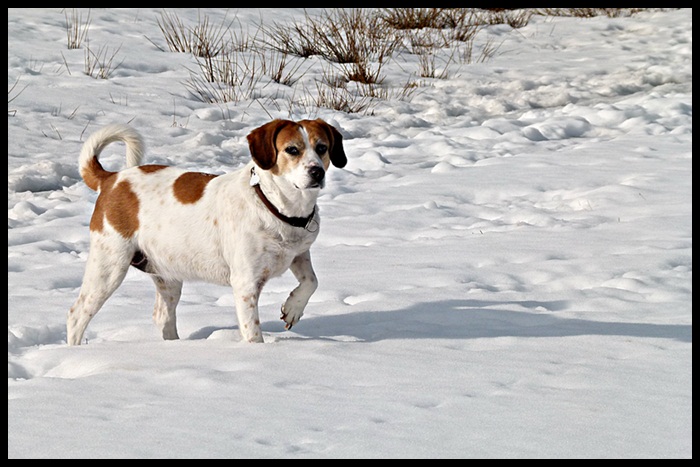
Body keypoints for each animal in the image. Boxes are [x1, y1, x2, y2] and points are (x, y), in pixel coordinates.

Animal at [67, 119, 346, 346]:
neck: (273, 204)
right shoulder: (245, 282)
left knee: (162, 316)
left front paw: (293, 308)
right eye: (292, 149)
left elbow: (311, 282)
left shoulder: (299, 254)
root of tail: (111, 179)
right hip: (109, 267)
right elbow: (252, 332)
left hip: (167, 275)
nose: (317, 172)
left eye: (322, 148)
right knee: (76, 315)